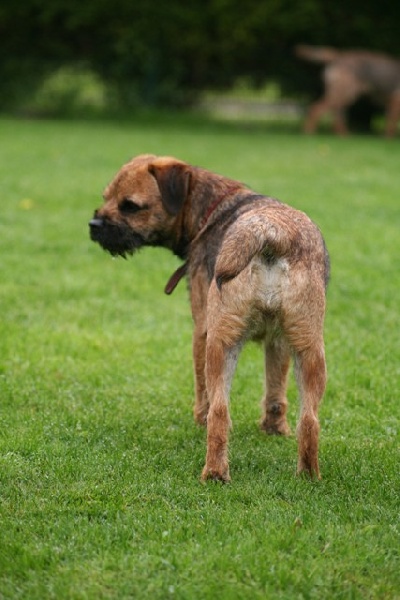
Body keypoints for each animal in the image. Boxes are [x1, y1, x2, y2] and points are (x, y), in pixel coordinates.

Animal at [89, 156, 330, 482]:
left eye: (130, 205)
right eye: (106, 197)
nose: (94, 225)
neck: (212, 209)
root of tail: (270, 231)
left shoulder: (201, 331)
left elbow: (201, 387)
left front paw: (199, 419)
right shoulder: (278, 342)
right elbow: (275, 389)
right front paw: (274, 429)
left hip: (219, 343)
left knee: (218, 410)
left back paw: (214, 472)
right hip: (309, 349)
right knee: (309, 419)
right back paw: (308, 475)